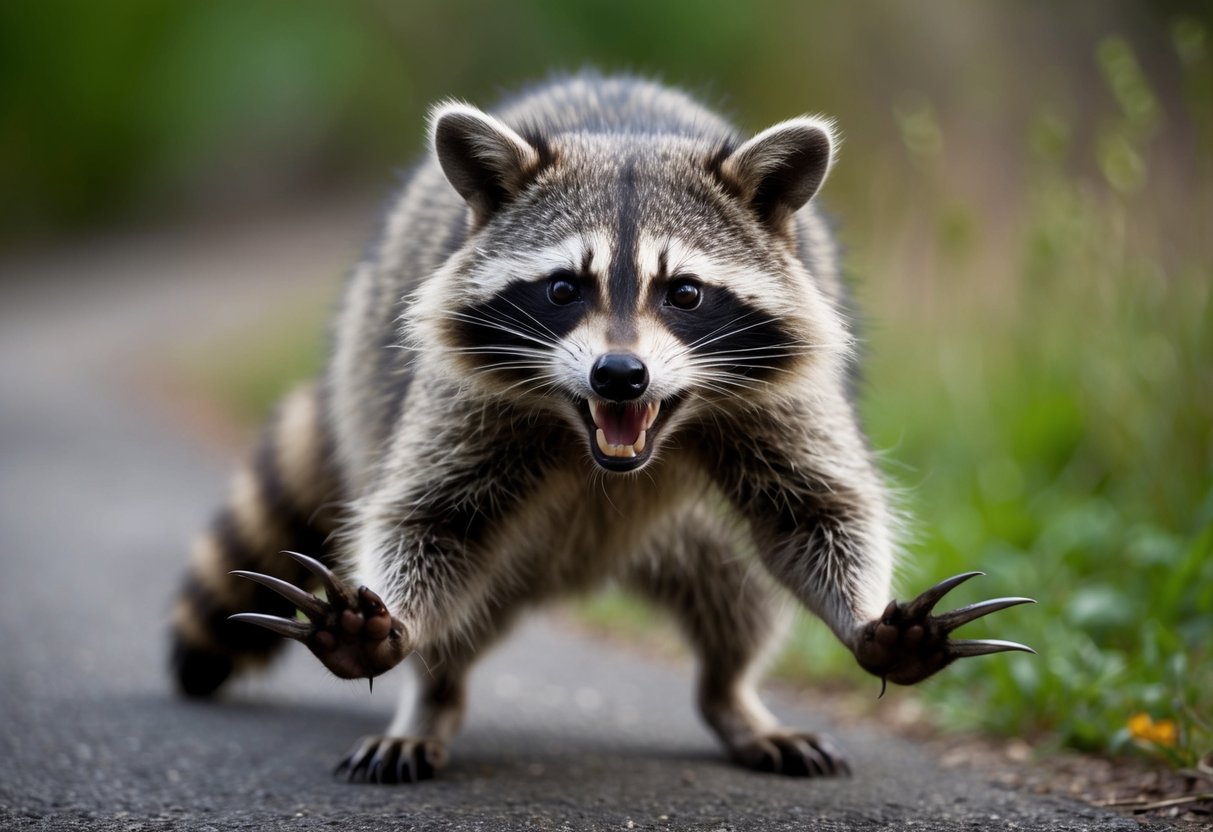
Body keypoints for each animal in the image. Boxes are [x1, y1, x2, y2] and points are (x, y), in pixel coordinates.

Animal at [170, 73, 1033, 783]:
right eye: (562, 289)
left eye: (683, 293)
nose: (620, 375)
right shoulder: (463, 396)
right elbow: (429, 519)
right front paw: (398, 626)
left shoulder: (780, 397)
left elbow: (820, 511)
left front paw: (862, 616)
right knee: (457, 618)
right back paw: (430, 699)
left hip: (692, 538)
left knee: (738, 599)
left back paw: (732, 695)